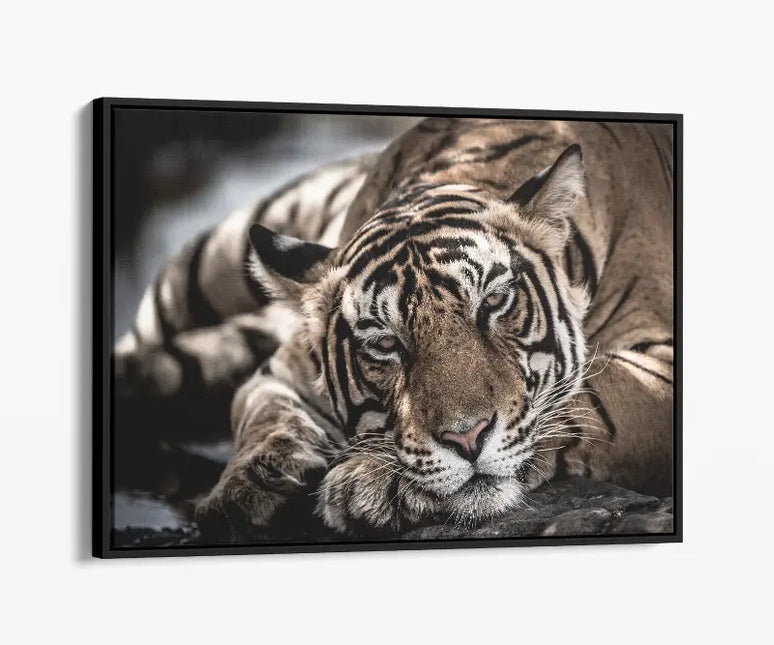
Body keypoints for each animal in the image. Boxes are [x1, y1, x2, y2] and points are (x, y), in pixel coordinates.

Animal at [115, 116, 674, 537]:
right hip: (207, 266)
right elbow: (261, 413)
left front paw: (373, 481)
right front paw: (245, 487)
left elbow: (591, 397)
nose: (468, 438)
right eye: (385, 343)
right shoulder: (283, 370)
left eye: (494, 302)